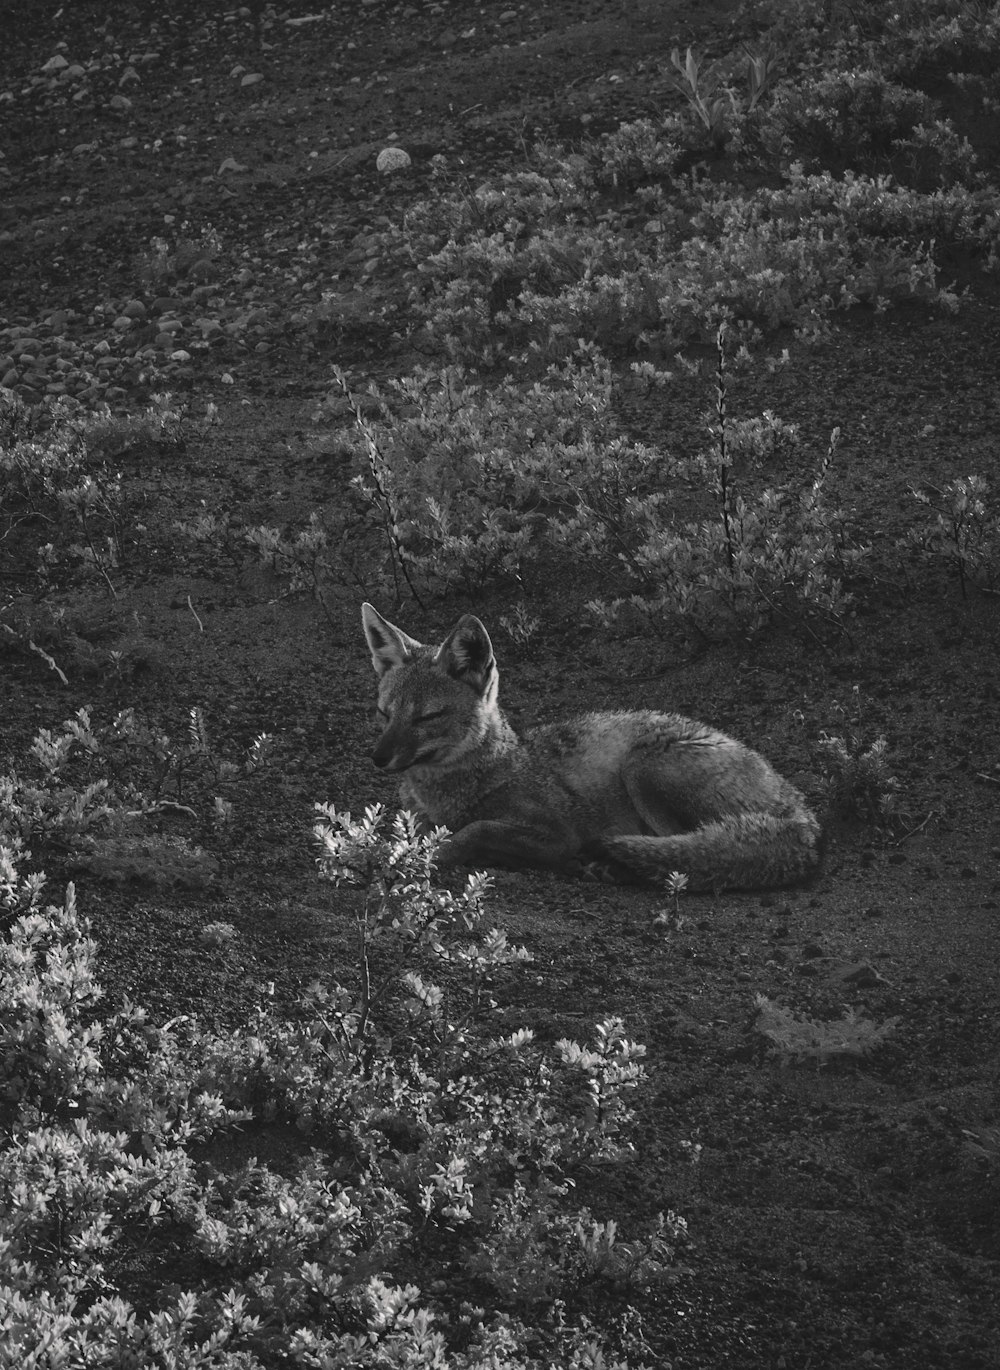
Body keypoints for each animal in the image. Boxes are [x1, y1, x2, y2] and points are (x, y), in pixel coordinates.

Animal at [358, 605, 816, 893]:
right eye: (384, 713)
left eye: (427, 717)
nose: (378, 758)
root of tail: (803, 813)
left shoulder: (557, 833)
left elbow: (476, 829)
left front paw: (430, 853)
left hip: (643, 766)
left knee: (684, 858)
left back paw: (613, 866)